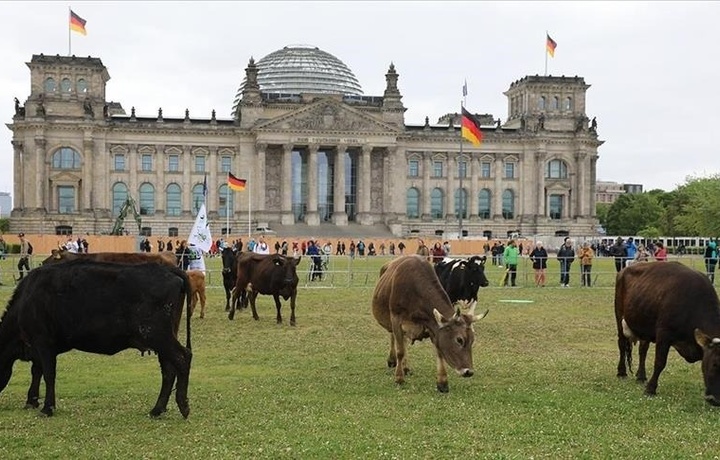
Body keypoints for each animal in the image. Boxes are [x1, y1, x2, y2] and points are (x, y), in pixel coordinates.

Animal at [0, 260, 193, 418]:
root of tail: (168, 269)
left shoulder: (43, 342)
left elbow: (48, 374)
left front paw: (47, 408)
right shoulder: (37, 347)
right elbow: (37, 371)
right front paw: (31, 401)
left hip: (157, 335)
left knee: (183, 357)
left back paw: (183, 406)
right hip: (162, 338)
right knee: (169, 369)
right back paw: (157, 410)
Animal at [372, 255, 490, 392]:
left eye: (472, 340)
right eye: (459, 340)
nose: (469, 372)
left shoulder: (433, 326)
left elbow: (439, 352)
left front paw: (442, 382)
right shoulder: (396, 320)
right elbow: (400, 351)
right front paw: (399, 378)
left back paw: (405, 367)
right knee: (394, 339)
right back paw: (392, 361)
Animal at [612, 260, 720, 404]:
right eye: (715, 364)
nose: (715, 400)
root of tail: (625, 269)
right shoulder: (664, 334)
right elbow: (660, 362)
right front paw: (650, 389)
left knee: (643, 350)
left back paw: (641, 376)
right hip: (619, 317)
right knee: (622, 344)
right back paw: (622, 372)